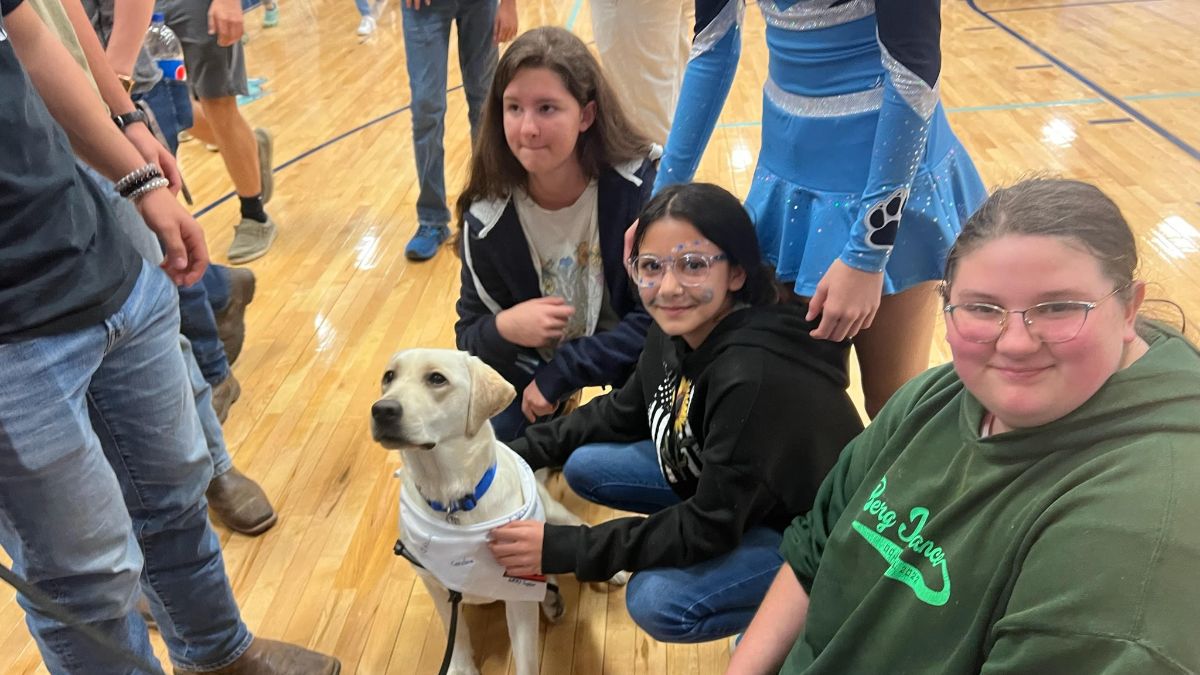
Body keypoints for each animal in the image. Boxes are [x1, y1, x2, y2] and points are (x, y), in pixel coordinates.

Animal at [369, 345, 624, 672]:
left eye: (437, 379)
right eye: (389, 377)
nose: (382, 410)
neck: (453, 499)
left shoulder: (517, 598)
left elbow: (526, 660)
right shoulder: (437, 588)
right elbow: (457, 635)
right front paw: (461, 668)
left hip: (552, 515)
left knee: (573, 530)